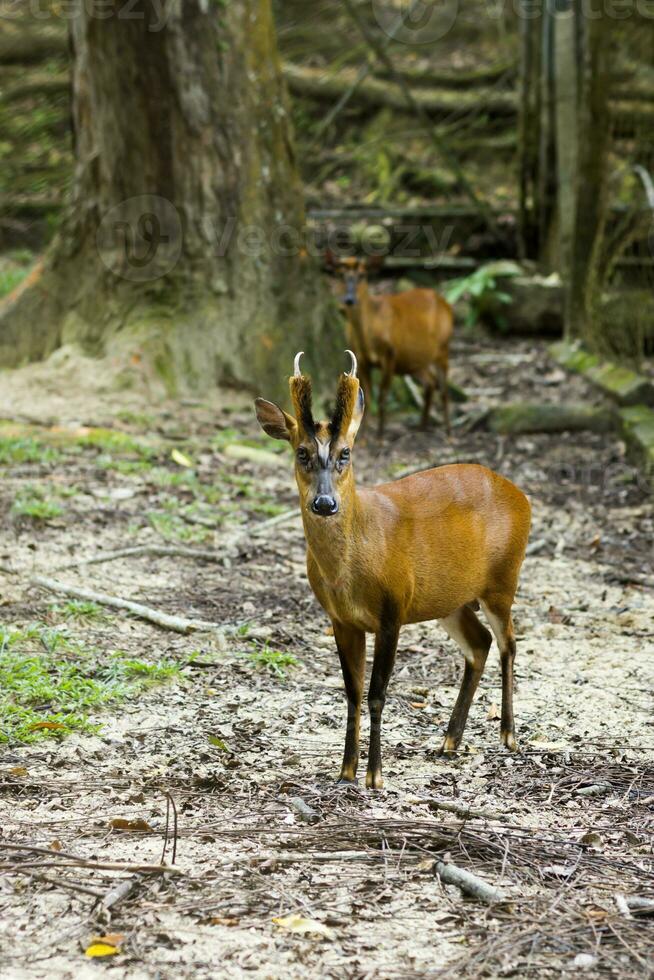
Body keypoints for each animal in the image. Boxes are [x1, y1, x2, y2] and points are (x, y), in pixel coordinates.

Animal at [256, 352, 532, 788]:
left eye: (345, 453)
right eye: (301, 452)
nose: (324, 503)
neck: (348, 571)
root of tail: (521, 496)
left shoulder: (392, 610)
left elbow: (377, 693)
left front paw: (375, 775)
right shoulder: (341, 620)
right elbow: (352, 691)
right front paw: (346, 771)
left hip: (503, 580)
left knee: (508, 642)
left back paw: (508, 735)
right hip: (448, 599)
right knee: (480, 643)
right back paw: (450, 740)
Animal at [330, 256, 454, 436]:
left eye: (362, 275)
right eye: (340, 274)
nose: (349, 299)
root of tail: (445, 303)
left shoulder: (390, 353)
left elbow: (382, 396)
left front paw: (380, 436)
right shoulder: (362, 358)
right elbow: (366, 396)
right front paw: (364, 436)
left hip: (443, 347)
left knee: (443, 389)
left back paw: (449, 433)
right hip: (414, 360)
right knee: (430, 382)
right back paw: (422, 427)